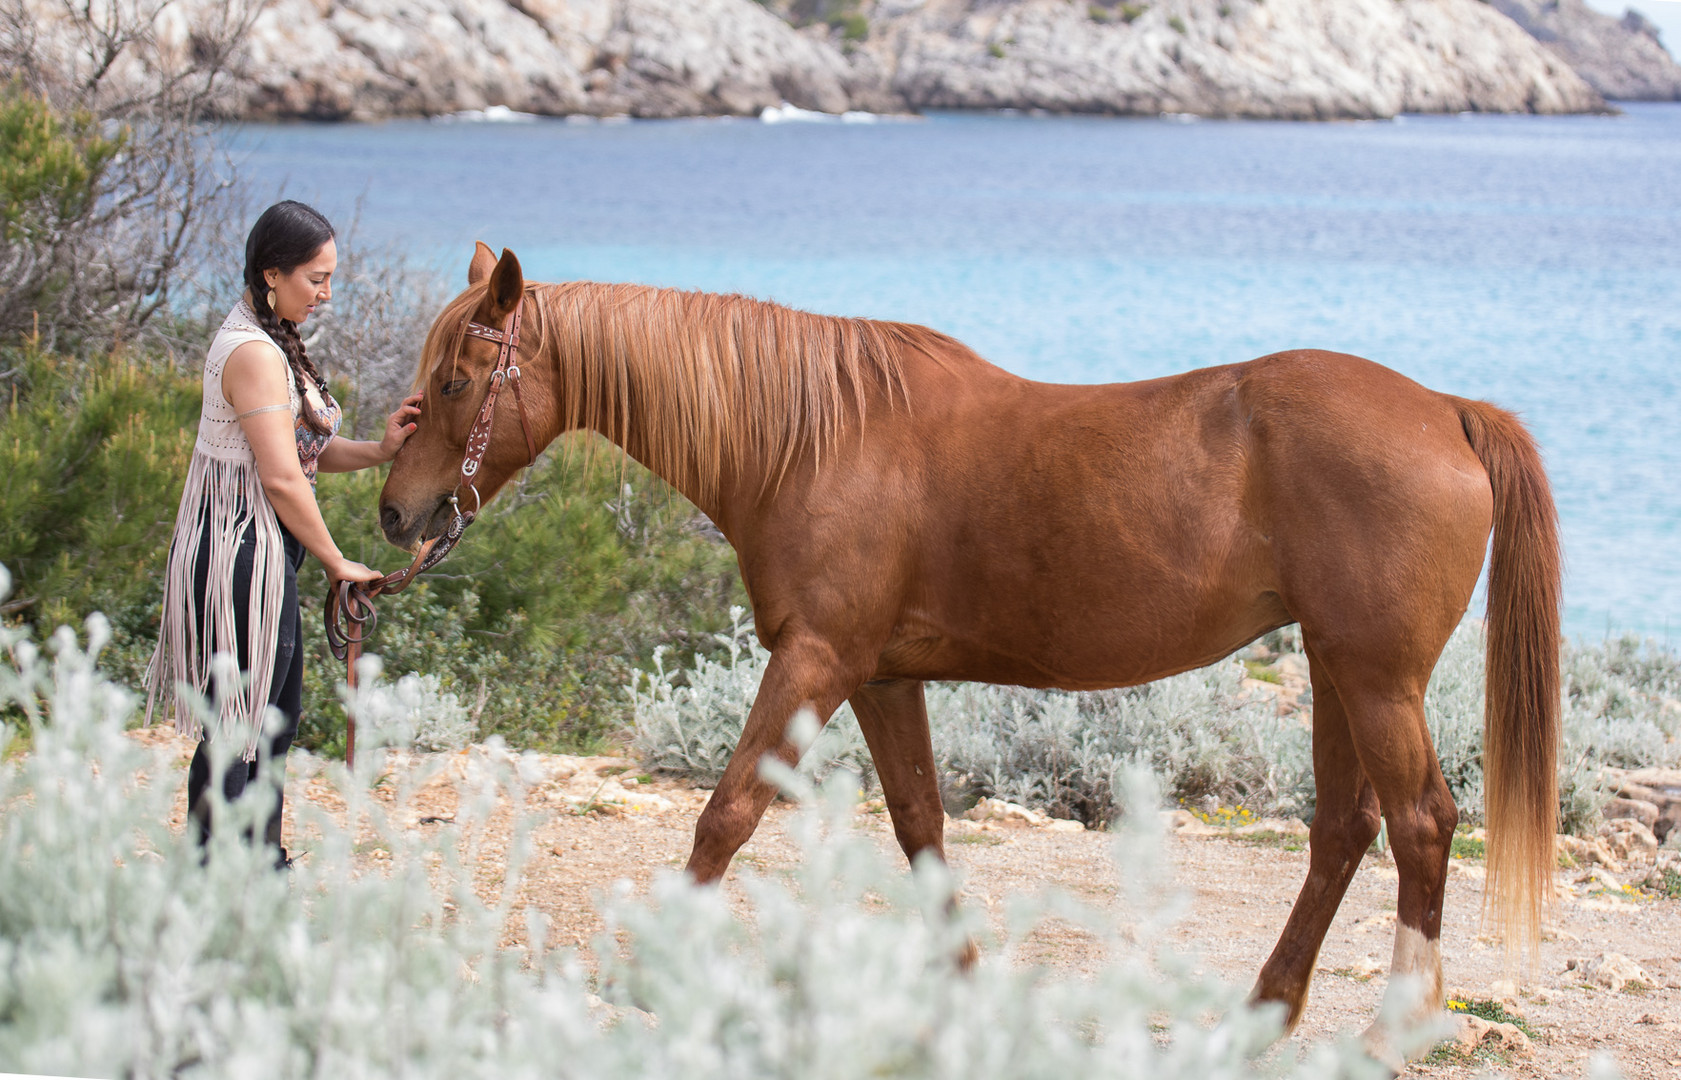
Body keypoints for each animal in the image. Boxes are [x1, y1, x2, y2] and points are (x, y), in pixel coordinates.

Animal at [381, 238, 1559, 1056]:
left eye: (454, 381)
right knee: (1342, 831)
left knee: (1419, 823)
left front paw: (658, 971)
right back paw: (1264, 1013)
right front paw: (963, 988)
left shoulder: (815, 664)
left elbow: (725, 816)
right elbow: (920, 826)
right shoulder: (880, 677)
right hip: (1332, 668)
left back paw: (1390, 1028)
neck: (815, 438)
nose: (397, 515)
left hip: (1373, 677)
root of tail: (1445, 411)